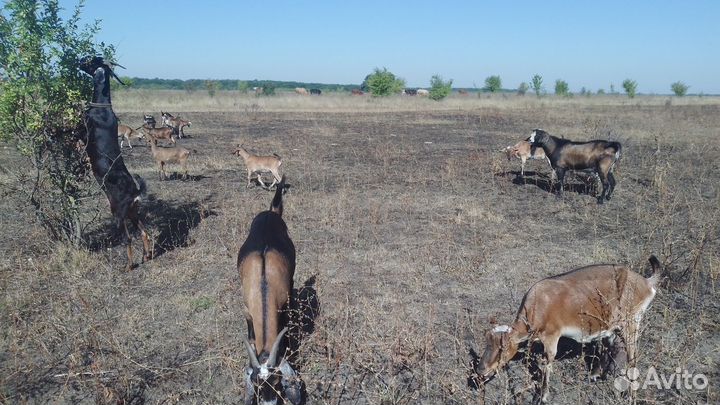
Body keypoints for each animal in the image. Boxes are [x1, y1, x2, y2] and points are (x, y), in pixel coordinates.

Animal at [79, 56, 152, 272]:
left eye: (89, 60)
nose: (78, 61)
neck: (102, 109)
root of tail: (135, 192)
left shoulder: (81, 131)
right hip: (132, 213)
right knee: (144, 233)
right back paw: (146, 256)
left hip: (118, 214)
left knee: (128, 239)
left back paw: (128, 266)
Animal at [239, 178, 300, 404]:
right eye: (256, 385)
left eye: (277, 382)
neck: (263, 286)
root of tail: (270, 212)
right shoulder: (246, 310)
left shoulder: (284, 306)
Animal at [476, 254, 660, 402]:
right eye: (487, 345)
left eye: (502, 348)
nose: (480, 370)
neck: (538, 305)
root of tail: (646, 283)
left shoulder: (551, 336)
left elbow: (547, 363)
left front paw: (543, 396)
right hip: (612, 327)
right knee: (610, 346)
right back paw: (595, 375)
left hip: (632, 323)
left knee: (632, 355)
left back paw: (629, 394)